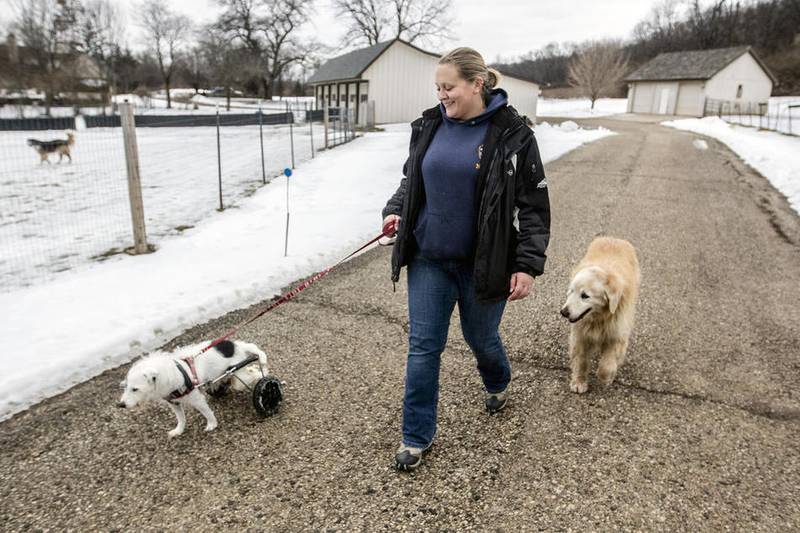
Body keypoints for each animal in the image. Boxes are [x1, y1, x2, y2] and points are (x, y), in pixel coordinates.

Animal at [118, 339, 268, 437]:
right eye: (125, 387)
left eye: (135, 389)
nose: (121, 405)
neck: (168, 373)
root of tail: (235, 344)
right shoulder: (174, 403)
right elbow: (181, 418)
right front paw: (179, 430)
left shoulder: (196, 399)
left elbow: (206, 412)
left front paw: (212, 424)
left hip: (238, 372)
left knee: (252, 373)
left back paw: (263, 375)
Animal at [560, 237, 640, 393]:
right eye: (571, 291)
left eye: (585, 296)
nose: (564, 312)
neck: (599, 318)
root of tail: (615, 238)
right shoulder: (580, 335)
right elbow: (581, 360)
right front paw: (579, 382)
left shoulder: (617, 335)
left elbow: (607, 364)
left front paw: (605, 378)